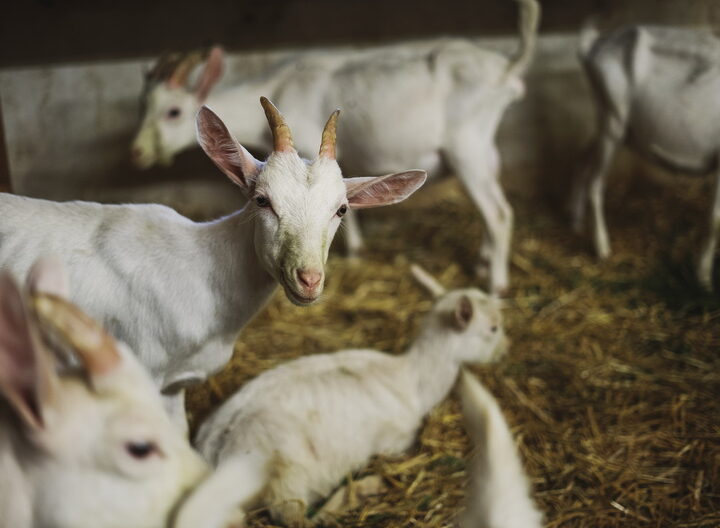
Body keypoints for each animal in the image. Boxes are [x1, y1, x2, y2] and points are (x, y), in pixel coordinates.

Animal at [131, 0, 541, 294]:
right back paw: (484, 261)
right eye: (143, 106)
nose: (137, 153)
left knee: (499, 213)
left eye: (173, 112)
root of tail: (508, 69)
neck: (282, 85)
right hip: (485, 148)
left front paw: (355, 251)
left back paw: (496, 284)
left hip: (467, 146)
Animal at [174, 264, 507, 528]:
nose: (506, 350)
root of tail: (214, 454)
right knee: (296, 519)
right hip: (284, 473)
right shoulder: (396, 441)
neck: (414, 379)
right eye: (493, 328)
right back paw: (363, 489)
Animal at [572, 24, 720, 290]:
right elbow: (715, 218)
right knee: (595, 182)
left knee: (582, 157)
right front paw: (703, 278)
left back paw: (576, 223)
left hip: (612, 126)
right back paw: (602, 247)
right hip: (613, 120)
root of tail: (593, 45)